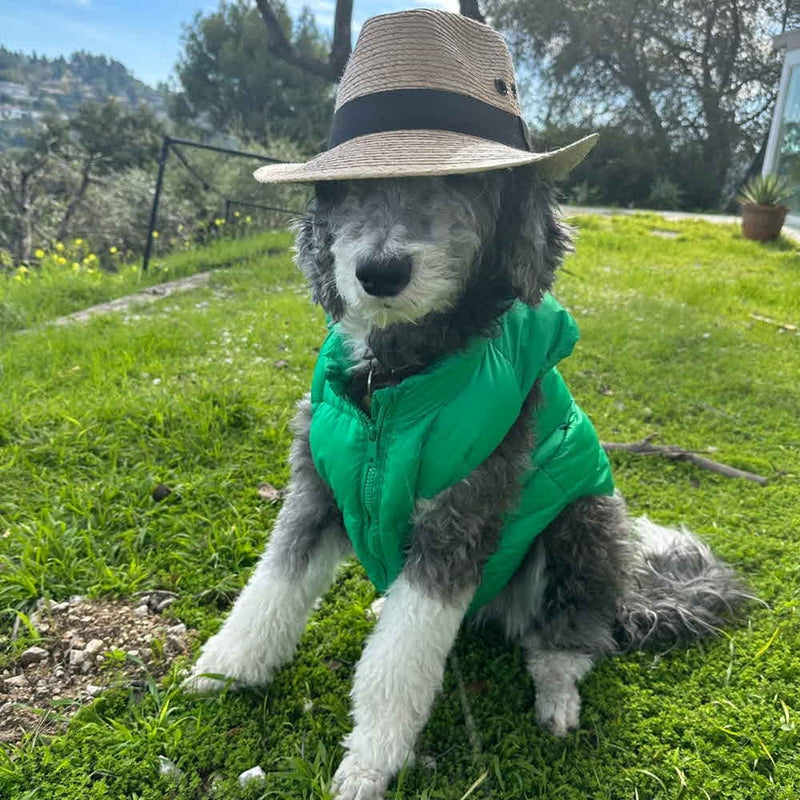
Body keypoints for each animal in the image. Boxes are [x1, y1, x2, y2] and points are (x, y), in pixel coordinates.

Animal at [184, 167, 748, 800]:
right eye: (348, 188)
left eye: (458, 183)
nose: (380, 272)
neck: (392, 382)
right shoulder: (316, 489)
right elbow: (271, 587)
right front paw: (224, 668)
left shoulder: (459, 520)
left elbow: (401, 658)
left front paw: (371, 759)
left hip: (584, 523)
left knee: (570, 639)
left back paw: (557, 694)